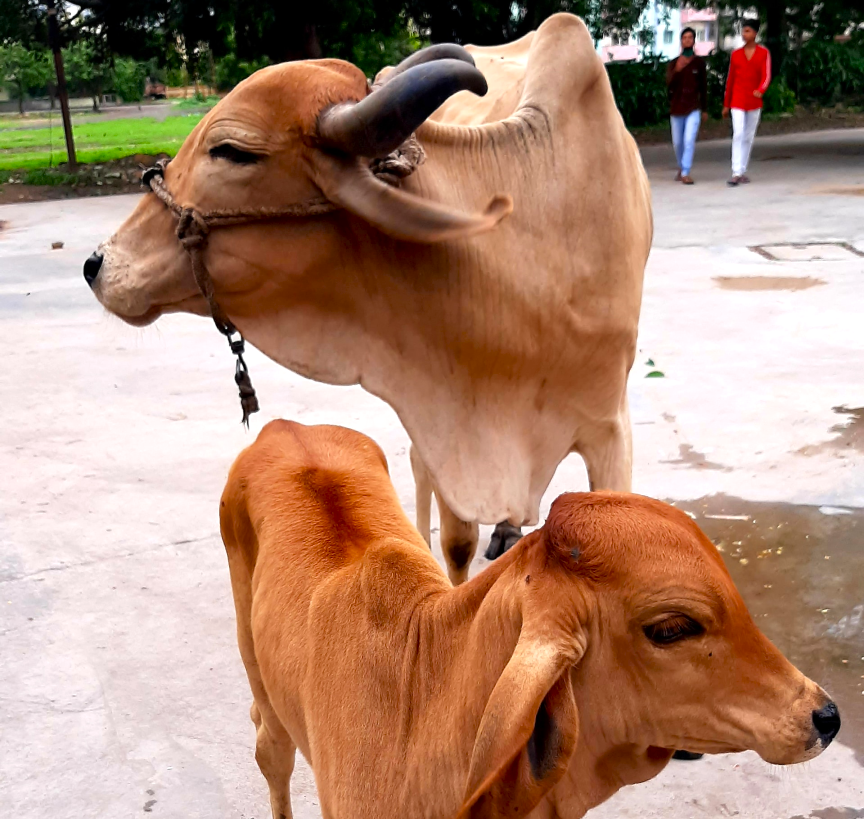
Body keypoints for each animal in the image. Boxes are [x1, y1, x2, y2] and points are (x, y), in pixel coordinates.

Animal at [221, 419, 841, 819]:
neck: (417, 718)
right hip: (263, 691)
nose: (827, 715)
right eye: (671, 629)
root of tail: (280, 425)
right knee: (270, 753)